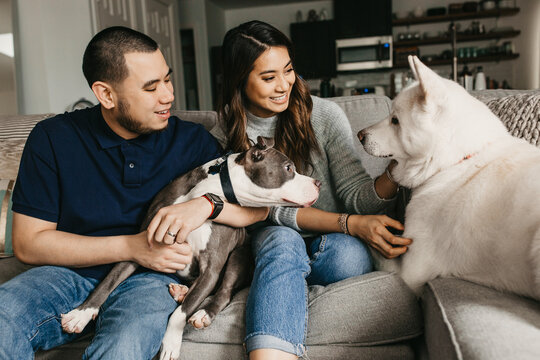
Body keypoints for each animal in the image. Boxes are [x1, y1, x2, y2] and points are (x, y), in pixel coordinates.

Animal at [60, 136, 320, 360]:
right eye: (288, 168)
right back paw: (181, 291)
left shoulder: (211, 269)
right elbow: (108, 282)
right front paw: (81, 314)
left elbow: (179, 314)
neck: (211, 190)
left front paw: (170, 343)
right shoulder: (139, 246)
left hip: (238, 257)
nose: (317, 182)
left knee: (224, 292)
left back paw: (203, 312)